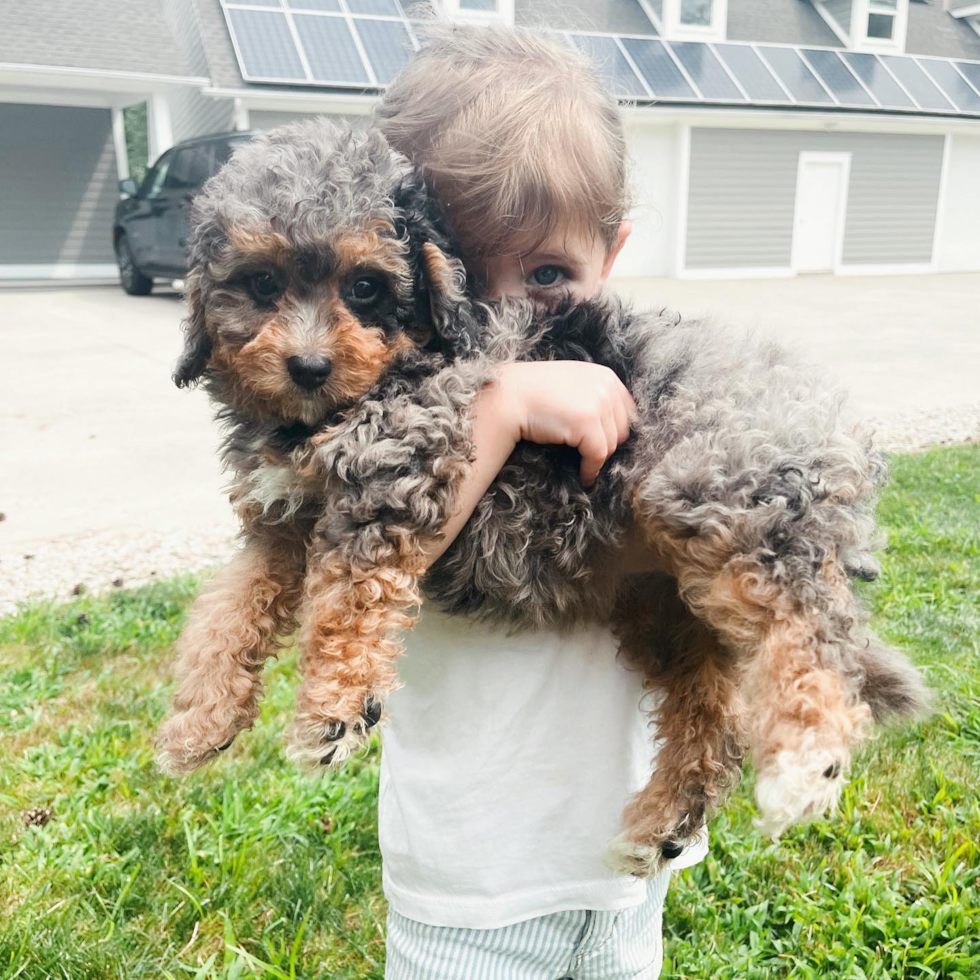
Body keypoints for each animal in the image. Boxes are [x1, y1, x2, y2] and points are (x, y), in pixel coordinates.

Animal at [157, 118, 932, 876]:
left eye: (367, 288)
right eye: (261, 282)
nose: (309, 367)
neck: (323, 417)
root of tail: (835, 426)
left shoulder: (402, 465)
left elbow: (347, 600)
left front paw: (334, 708)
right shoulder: (279, 528)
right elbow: (225, 611)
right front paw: (199, 719)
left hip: (718, 496)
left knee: (810, 626)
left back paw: (806, 757)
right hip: (669, 601)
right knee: (712, 712)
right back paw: (668, 825)